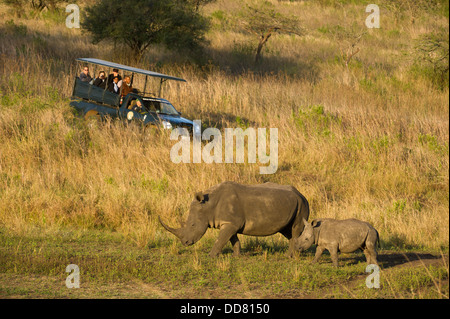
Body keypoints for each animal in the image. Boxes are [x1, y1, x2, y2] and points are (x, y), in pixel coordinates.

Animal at [158, 181, 310, 258]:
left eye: (193, 225)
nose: (185, 243)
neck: (208, 205)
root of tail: (301, 194)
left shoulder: (230, 223)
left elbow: (220, 240)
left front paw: (210, 256)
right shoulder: (230, 223)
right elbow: (233, 240)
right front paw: (237, 256)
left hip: (301, 204)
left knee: (295, 229)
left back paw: (292, 256)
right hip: (290, 204)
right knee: (287, 230)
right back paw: (289, 255)